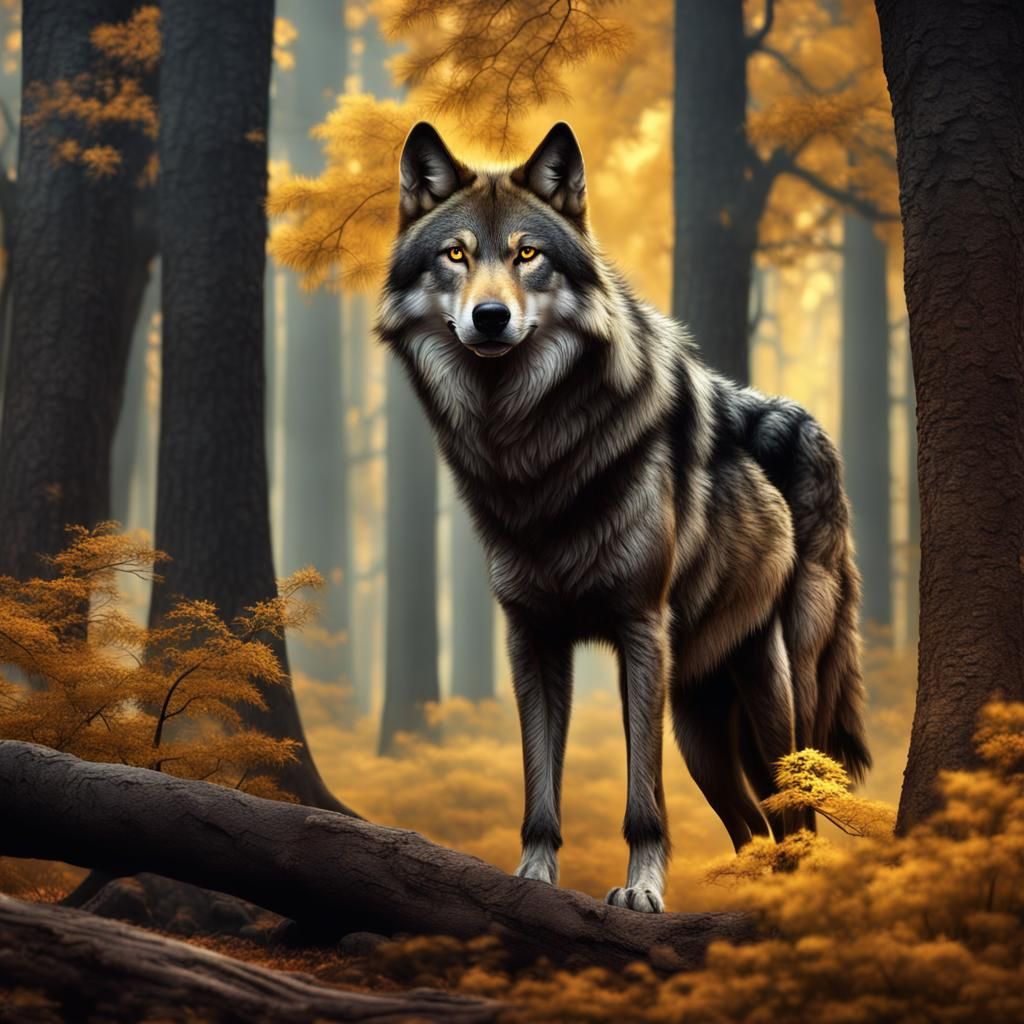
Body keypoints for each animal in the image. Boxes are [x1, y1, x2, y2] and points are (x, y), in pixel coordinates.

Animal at [376, 121, 870, 913]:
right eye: (456, 254)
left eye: (528, 254)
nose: (491, 316)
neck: (530, 449)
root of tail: (815, 433)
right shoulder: (531, 635)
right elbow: (539, 785)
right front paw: (532, 878)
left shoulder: (640, 629)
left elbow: (645, 799)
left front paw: (640, 891)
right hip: (702, 734)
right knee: (752, 827)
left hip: (776, 705)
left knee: (796, 817)